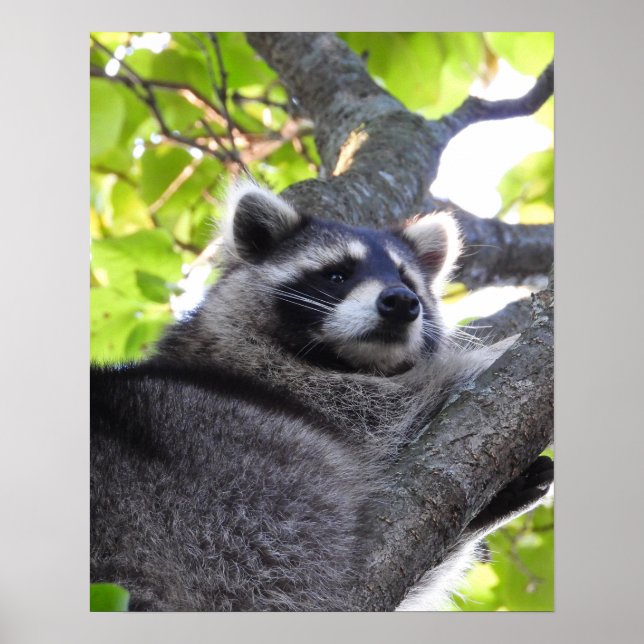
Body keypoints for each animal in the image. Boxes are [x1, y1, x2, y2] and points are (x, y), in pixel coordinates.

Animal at [90, 183, 553, 611]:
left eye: (407, 280)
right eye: (337, 274)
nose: (402, 301)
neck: (347, 359)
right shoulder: (286, 385)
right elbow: (399, 405)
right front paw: (491, 353)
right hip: (238, 499)